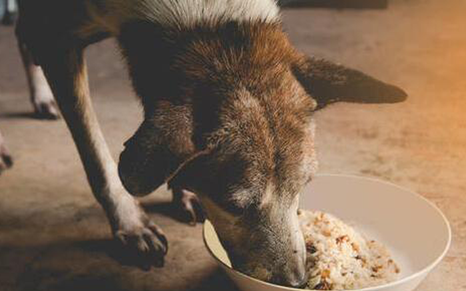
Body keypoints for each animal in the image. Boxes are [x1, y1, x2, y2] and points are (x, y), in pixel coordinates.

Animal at [4, 0, 408, 288]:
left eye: (303, 187)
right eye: (234, 205)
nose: (294, 282)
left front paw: (183, 190)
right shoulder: (56, 38)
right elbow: (97, 155)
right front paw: (131, 223)